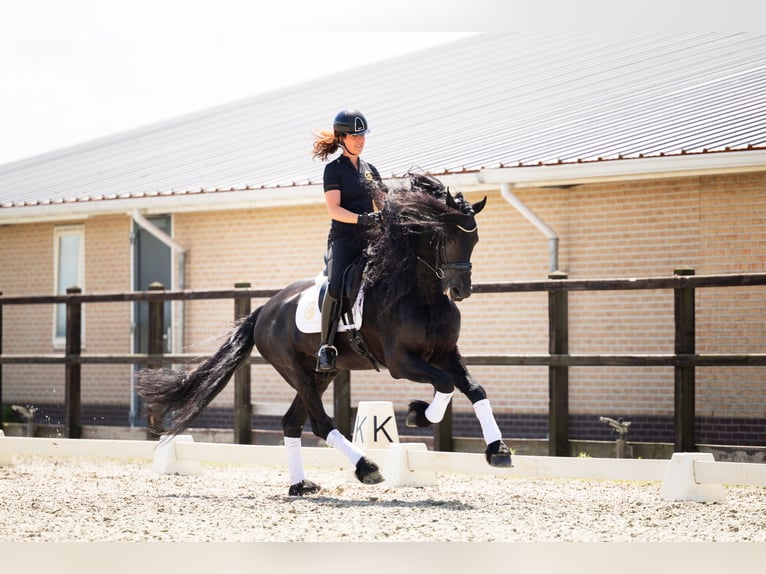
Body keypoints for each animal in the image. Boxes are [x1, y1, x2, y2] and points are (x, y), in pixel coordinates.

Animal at [137, 176, 510, 496]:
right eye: (446, 238)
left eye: (474, 239)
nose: (461, 290)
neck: (422, 293)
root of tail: (265, 310)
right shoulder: (400, 362)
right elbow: (445, 384)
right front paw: (419, 414)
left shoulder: (446, 353)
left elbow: (474, 389)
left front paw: (498, 450)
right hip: (295, 369)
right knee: (318, 422)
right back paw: (366, 467)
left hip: (321, 373)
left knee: (292, 423)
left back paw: (300, 485)